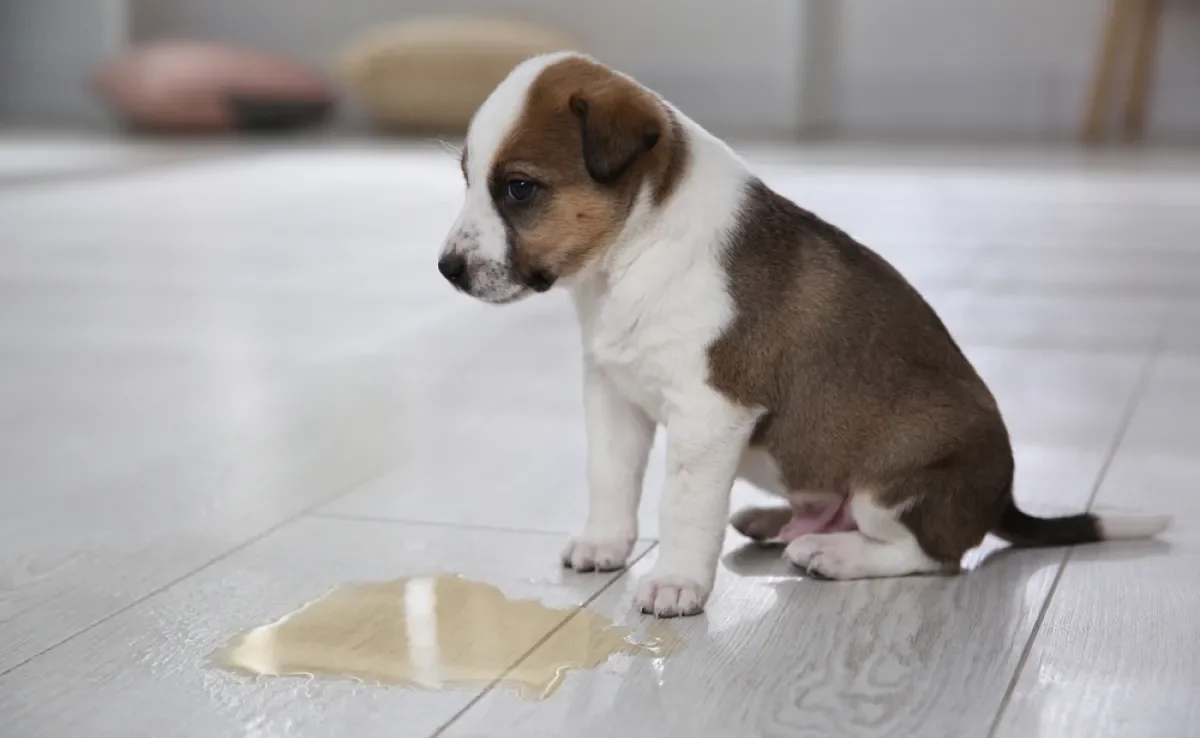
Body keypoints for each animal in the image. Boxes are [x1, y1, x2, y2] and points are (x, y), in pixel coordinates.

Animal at [434, 53, 1171, 619]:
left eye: (519, 189)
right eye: (469, 180)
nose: (446, 270)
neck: (633, 255)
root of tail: (1000, 499)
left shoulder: (711, 415)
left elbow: (684, 504)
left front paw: (675, 583)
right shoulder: (614, 394)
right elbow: (611, 478)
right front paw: (605, 544)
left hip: (894, 480)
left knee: (932, 555)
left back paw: (833, 553)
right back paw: (773, 521)